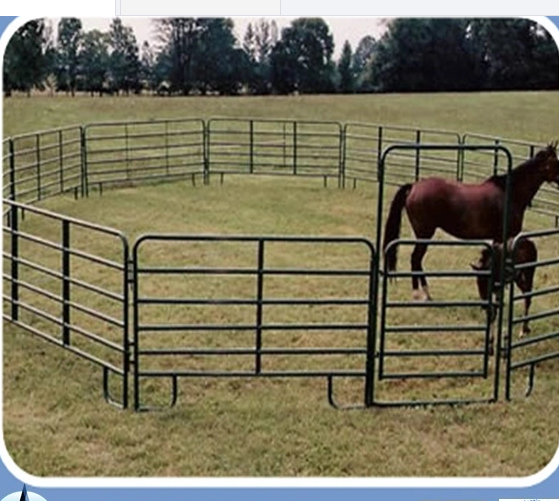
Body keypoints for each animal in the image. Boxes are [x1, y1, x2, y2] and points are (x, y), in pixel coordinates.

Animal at [382, 141, 556, 298]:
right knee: (415, 259)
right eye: (556, 161)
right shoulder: (505, 237)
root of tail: (413, 187)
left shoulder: (497, 239)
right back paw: (420, 294)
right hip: (424, 234)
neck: (510, 193)